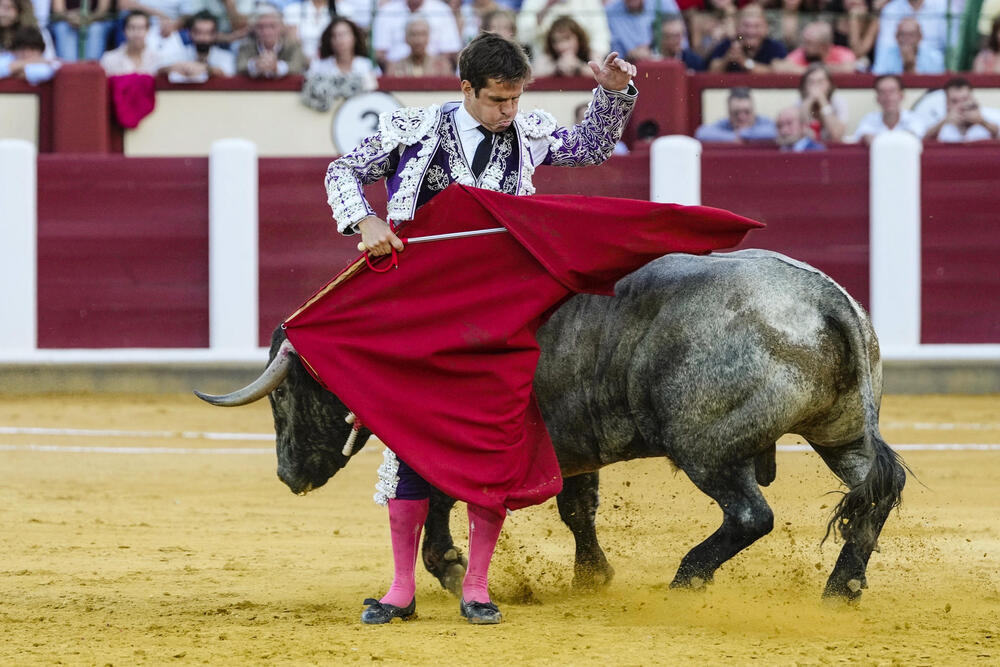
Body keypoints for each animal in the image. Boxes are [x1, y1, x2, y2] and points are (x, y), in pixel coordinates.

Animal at [195, 249, 908, 600]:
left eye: (285, 396)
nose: (289, 475)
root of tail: (827, 300)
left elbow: (441, 502)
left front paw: (450, 567)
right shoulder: (574, 448)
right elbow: (576, 508)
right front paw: (592, 577)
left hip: (705, 449)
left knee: (750, 515)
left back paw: (687, 579)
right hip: (842, 432)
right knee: (876, 493)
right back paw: (842, 587)